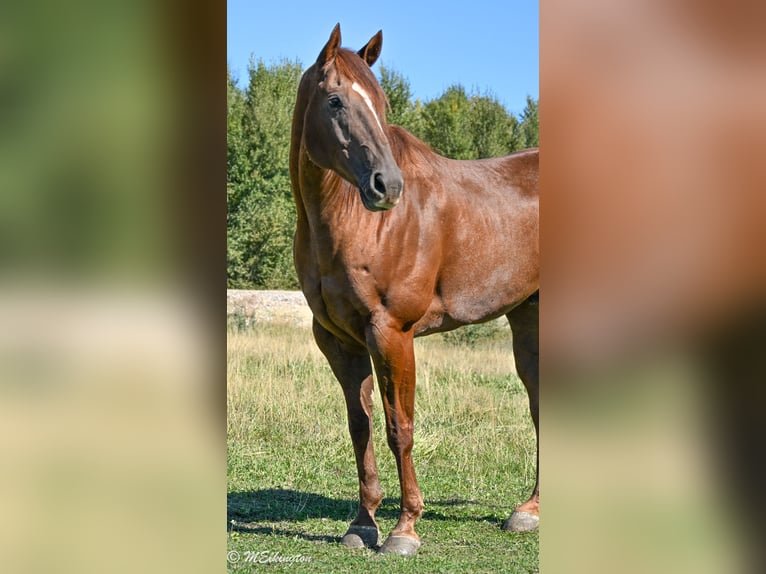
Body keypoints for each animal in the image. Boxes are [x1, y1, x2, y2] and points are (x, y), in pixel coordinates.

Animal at [289, 23, 539, 556]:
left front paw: (404, 530)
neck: (352, 222)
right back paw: (528, 511)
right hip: (529, 315)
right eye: (335, 101)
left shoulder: (392, 333)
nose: (387, 186)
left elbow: (398, 427)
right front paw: (362, 524)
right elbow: (360, 427)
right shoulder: (339, 341)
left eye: (382, 104)